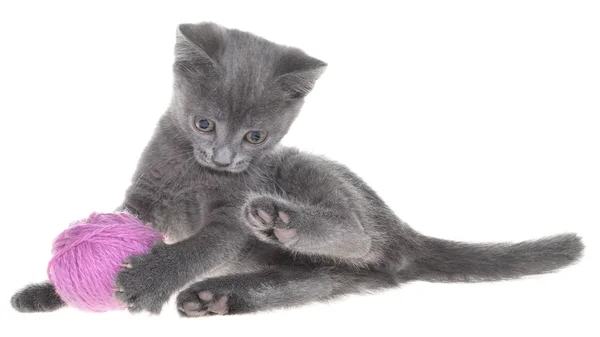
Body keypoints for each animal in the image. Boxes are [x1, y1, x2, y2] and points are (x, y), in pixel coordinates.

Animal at [10, 22, 580, 314]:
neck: (197, 173)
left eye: (255, 136)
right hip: (331, 275)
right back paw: (217, 297)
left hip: (304, 169)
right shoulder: (145, 200)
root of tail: (405, 233)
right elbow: (117, 227)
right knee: (323, 279)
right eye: (203, 124)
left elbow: (200, 245)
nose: (225, 158)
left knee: (359, 237)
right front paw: (48, 290)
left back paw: (278, 222)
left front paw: (151, 277)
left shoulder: (231, 211)